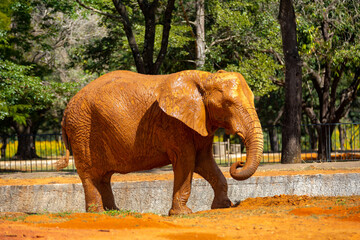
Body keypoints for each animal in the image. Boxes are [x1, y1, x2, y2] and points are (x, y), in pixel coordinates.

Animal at [56, 69, 264, 216]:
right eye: (228, 104)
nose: (238, 163)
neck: (205, 77)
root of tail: (66, 111)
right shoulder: (173, 124)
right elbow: (186, 161)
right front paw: (182, 214)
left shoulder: (200, 121)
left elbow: (203, 161)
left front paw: (222, 207)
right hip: (82, 130)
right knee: (90, 175)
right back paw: (99, 213)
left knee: (103, 176)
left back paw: (115, 212)